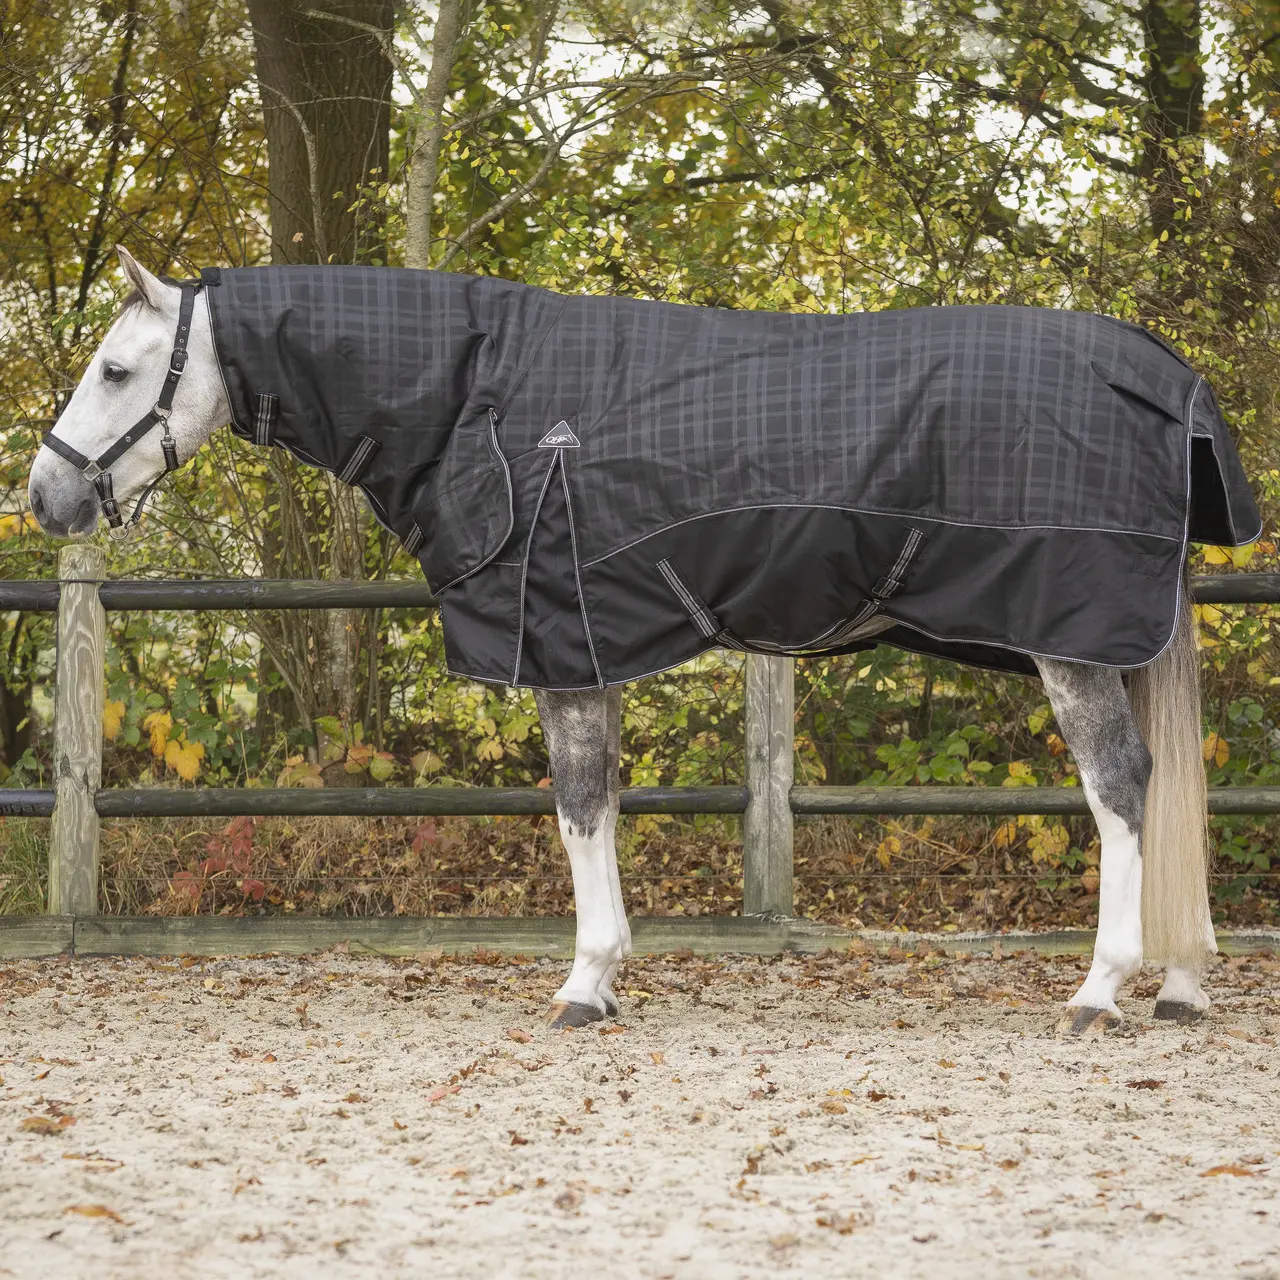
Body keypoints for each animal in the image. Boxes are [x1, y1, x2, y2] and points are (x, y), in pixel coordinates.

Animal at [27, 246, 1259, 1035]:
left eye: (119, 371)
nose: (46, 495)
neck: (478, 393)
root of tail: (1163, 372)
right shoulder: (590, 642)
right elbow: (604, 802)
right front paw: (610, 972)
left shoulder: (557, 644)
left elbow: (575, 806)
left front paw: (583, 984)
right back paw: (1181, 985)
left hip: (1073, 641)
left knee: (1122, 785)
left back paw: (1100, 991)